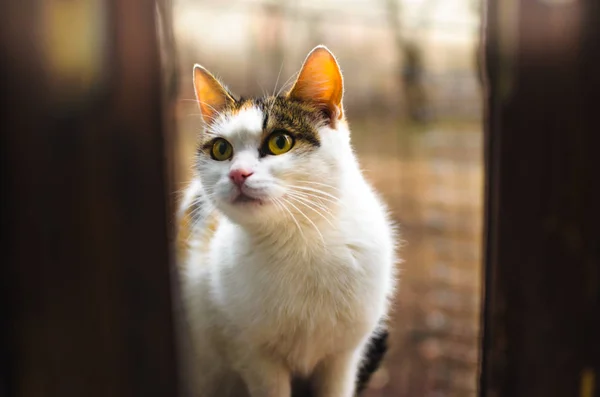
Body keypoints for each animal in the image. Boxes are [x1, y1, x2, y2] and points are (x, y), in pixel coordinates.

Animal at [177, 45, 398, 396]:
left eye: (280, 142)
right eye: (221, 149)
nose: (238, 174)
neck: (299, 238)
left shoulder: (342, 358)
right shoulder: (255, 357)